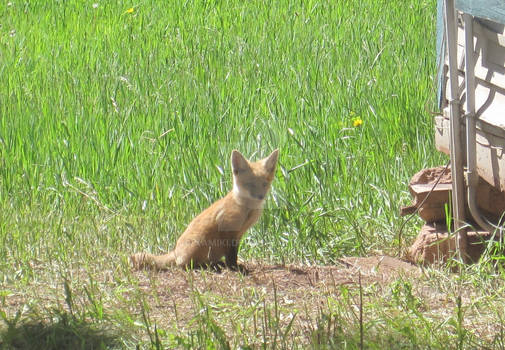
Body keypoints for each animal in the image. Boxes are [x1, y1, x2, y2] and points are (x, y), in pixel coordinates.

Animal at [129, 148, 280, 270]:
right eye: (250, 184)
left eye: (264, 184)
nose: (260, 197)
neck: (247, 211)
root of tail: (175, 251)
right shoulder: (227, 230)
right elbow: (231, 257)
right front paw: (234, 268)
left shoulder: (238, 235)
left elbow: (234, 254)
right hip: (200, 244)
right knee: (184, 264)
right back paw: (211, 265)